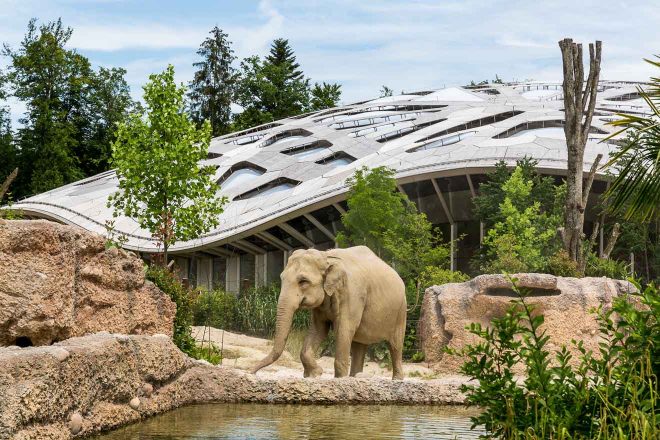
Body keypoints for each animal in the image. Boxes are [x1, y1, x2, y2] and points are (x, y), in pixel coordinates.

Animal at [251, 246, 408, 380]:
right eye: (282, 278)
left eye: (303, 281)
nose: (252, 372)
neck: (326, 257)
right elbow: (319, 330)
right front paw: (314, 374)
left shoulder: (353, 294)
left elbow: (344, 329)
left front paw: (339, 379)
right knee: (359, 343)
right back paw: (355, 377)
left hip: (401, 310)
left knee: (395, 344)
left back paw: (396, 379)